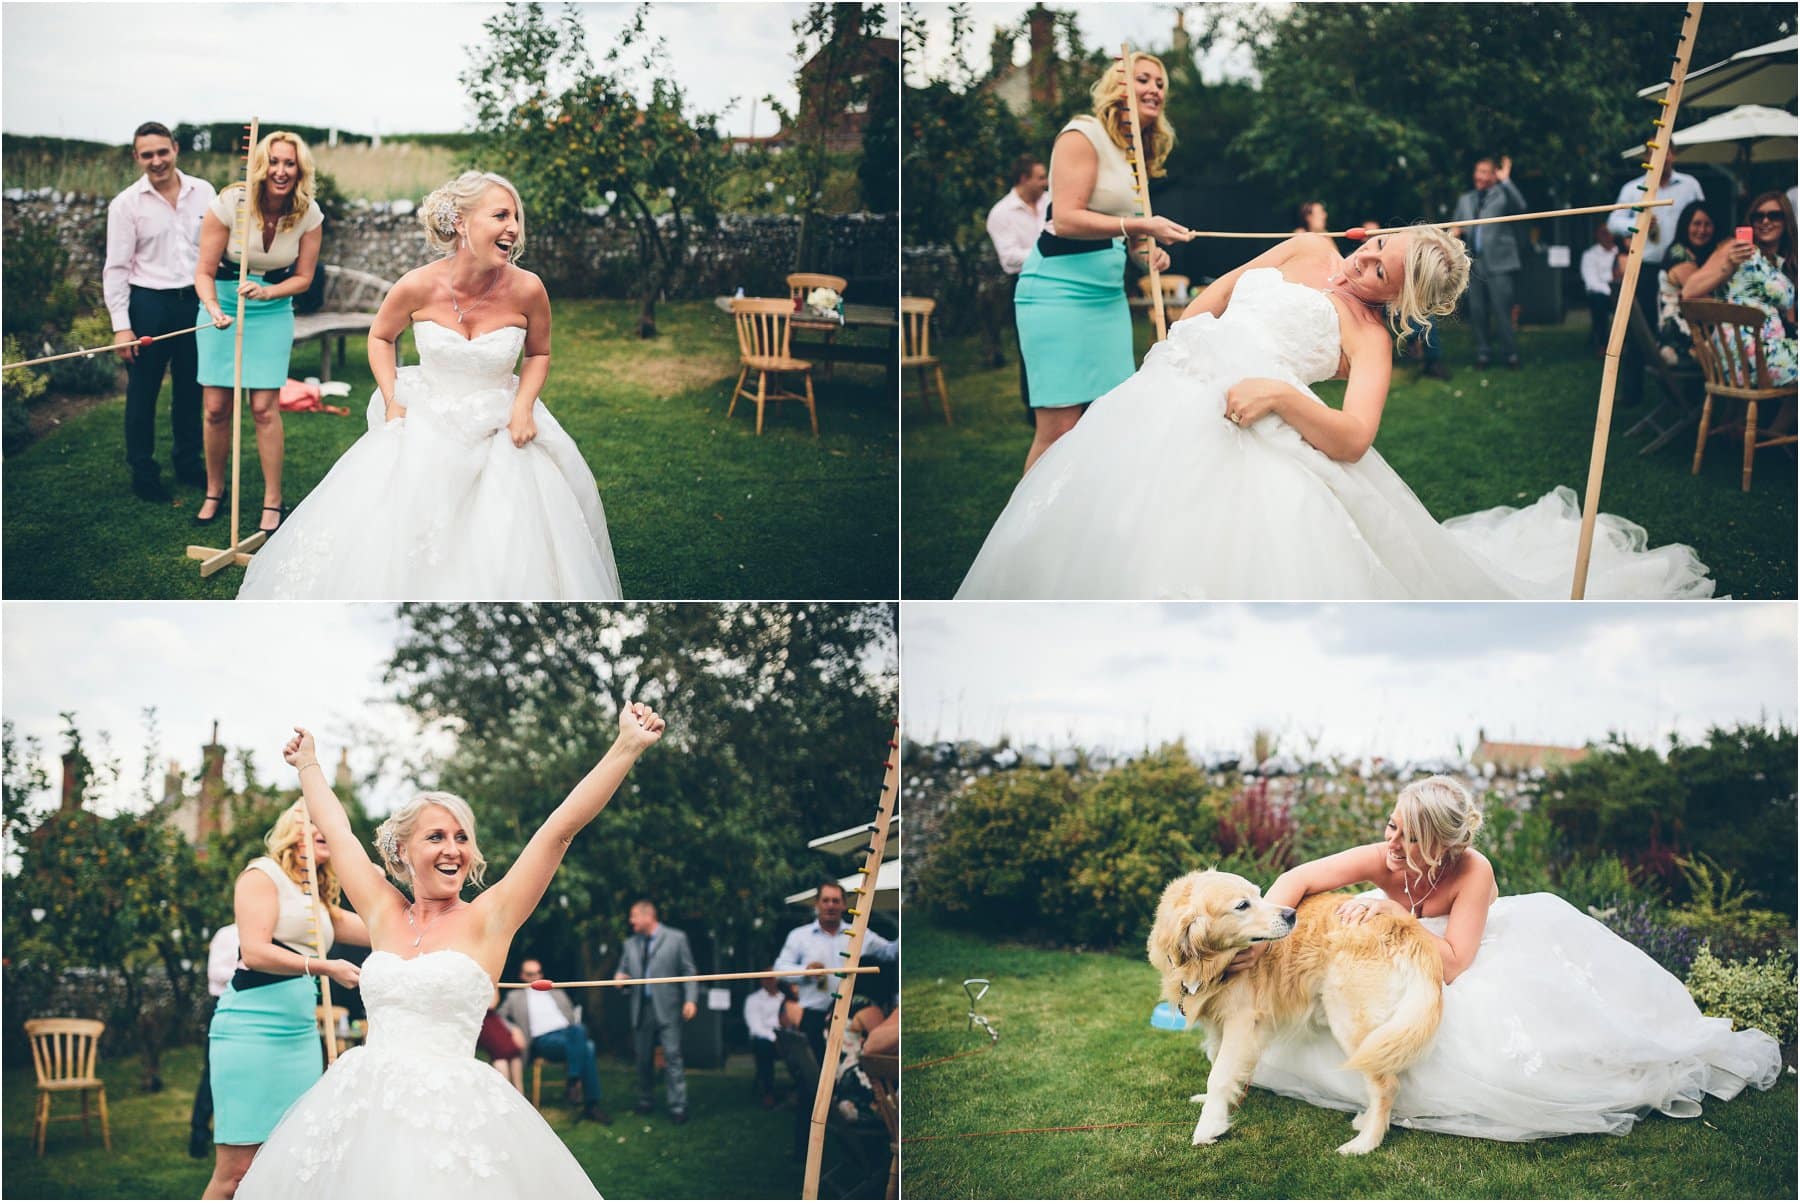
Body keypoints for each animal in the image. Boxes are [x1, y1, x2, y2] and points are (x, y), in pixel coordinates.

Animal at [1152, 874, 1447, 1151]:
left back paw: (1365, 1143)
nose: (1291, 914)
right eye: (1243, 905)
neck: (1209, 963)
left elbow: (1220, 1075)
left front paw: (1208, 1127)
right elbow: (1216, 1059)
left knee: (1386, 1084)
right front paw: (1215, 1106)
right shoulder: (1217, 1020)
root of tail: (1403, 926)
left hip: (1350, 1021)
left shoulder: (1241, 1020)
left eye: (1258, 895)